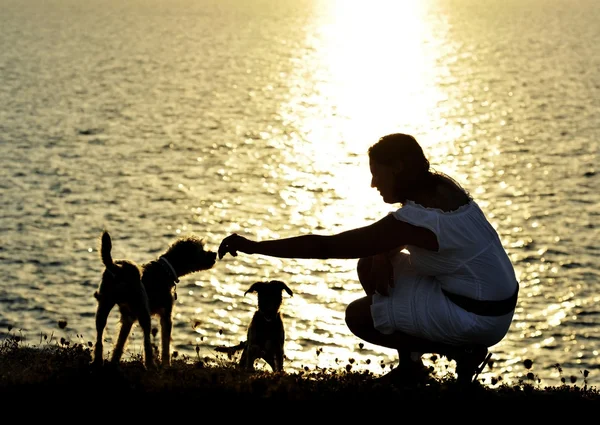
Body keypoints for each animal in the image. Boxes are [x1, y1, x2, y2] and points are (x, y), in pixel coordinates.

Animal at [92, 230, 217, 366]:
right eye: (201, 250)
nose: (214, 254)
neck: (166, 270)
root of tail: (117, 269)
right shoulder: (166, 315)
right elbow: (165, 344)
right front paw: (166, 364)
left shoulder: (128, 318)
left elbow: (120, 342)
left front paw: (114, 361)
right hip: (143, 311)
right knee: (147, 341)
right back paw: (150, 364)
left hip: (104, 305)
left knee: (99, 336)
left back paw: (98, 361)